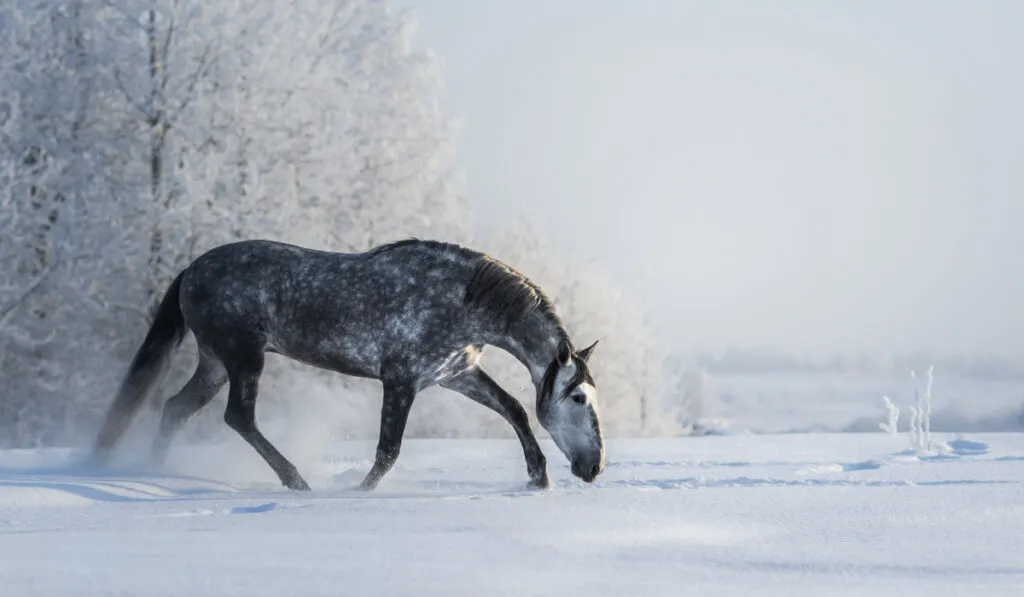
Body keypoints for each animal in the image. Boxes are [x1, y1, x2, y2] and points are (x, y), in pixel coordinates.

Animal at [92, 238, 602, 491]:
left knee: (176, 409)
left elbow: (513, 408)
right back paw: (296, 480)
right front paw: (359, 492)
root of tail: (190, 271)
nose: (594, 467)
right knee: (239, 416)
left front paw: (538, 478)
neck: (462, 300)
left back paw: (153, 470)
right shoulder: (401, 379)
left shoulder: (455, 376)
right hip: (243, 357)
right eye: (578, 397)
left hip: (215, 363)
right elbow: (388, 449)